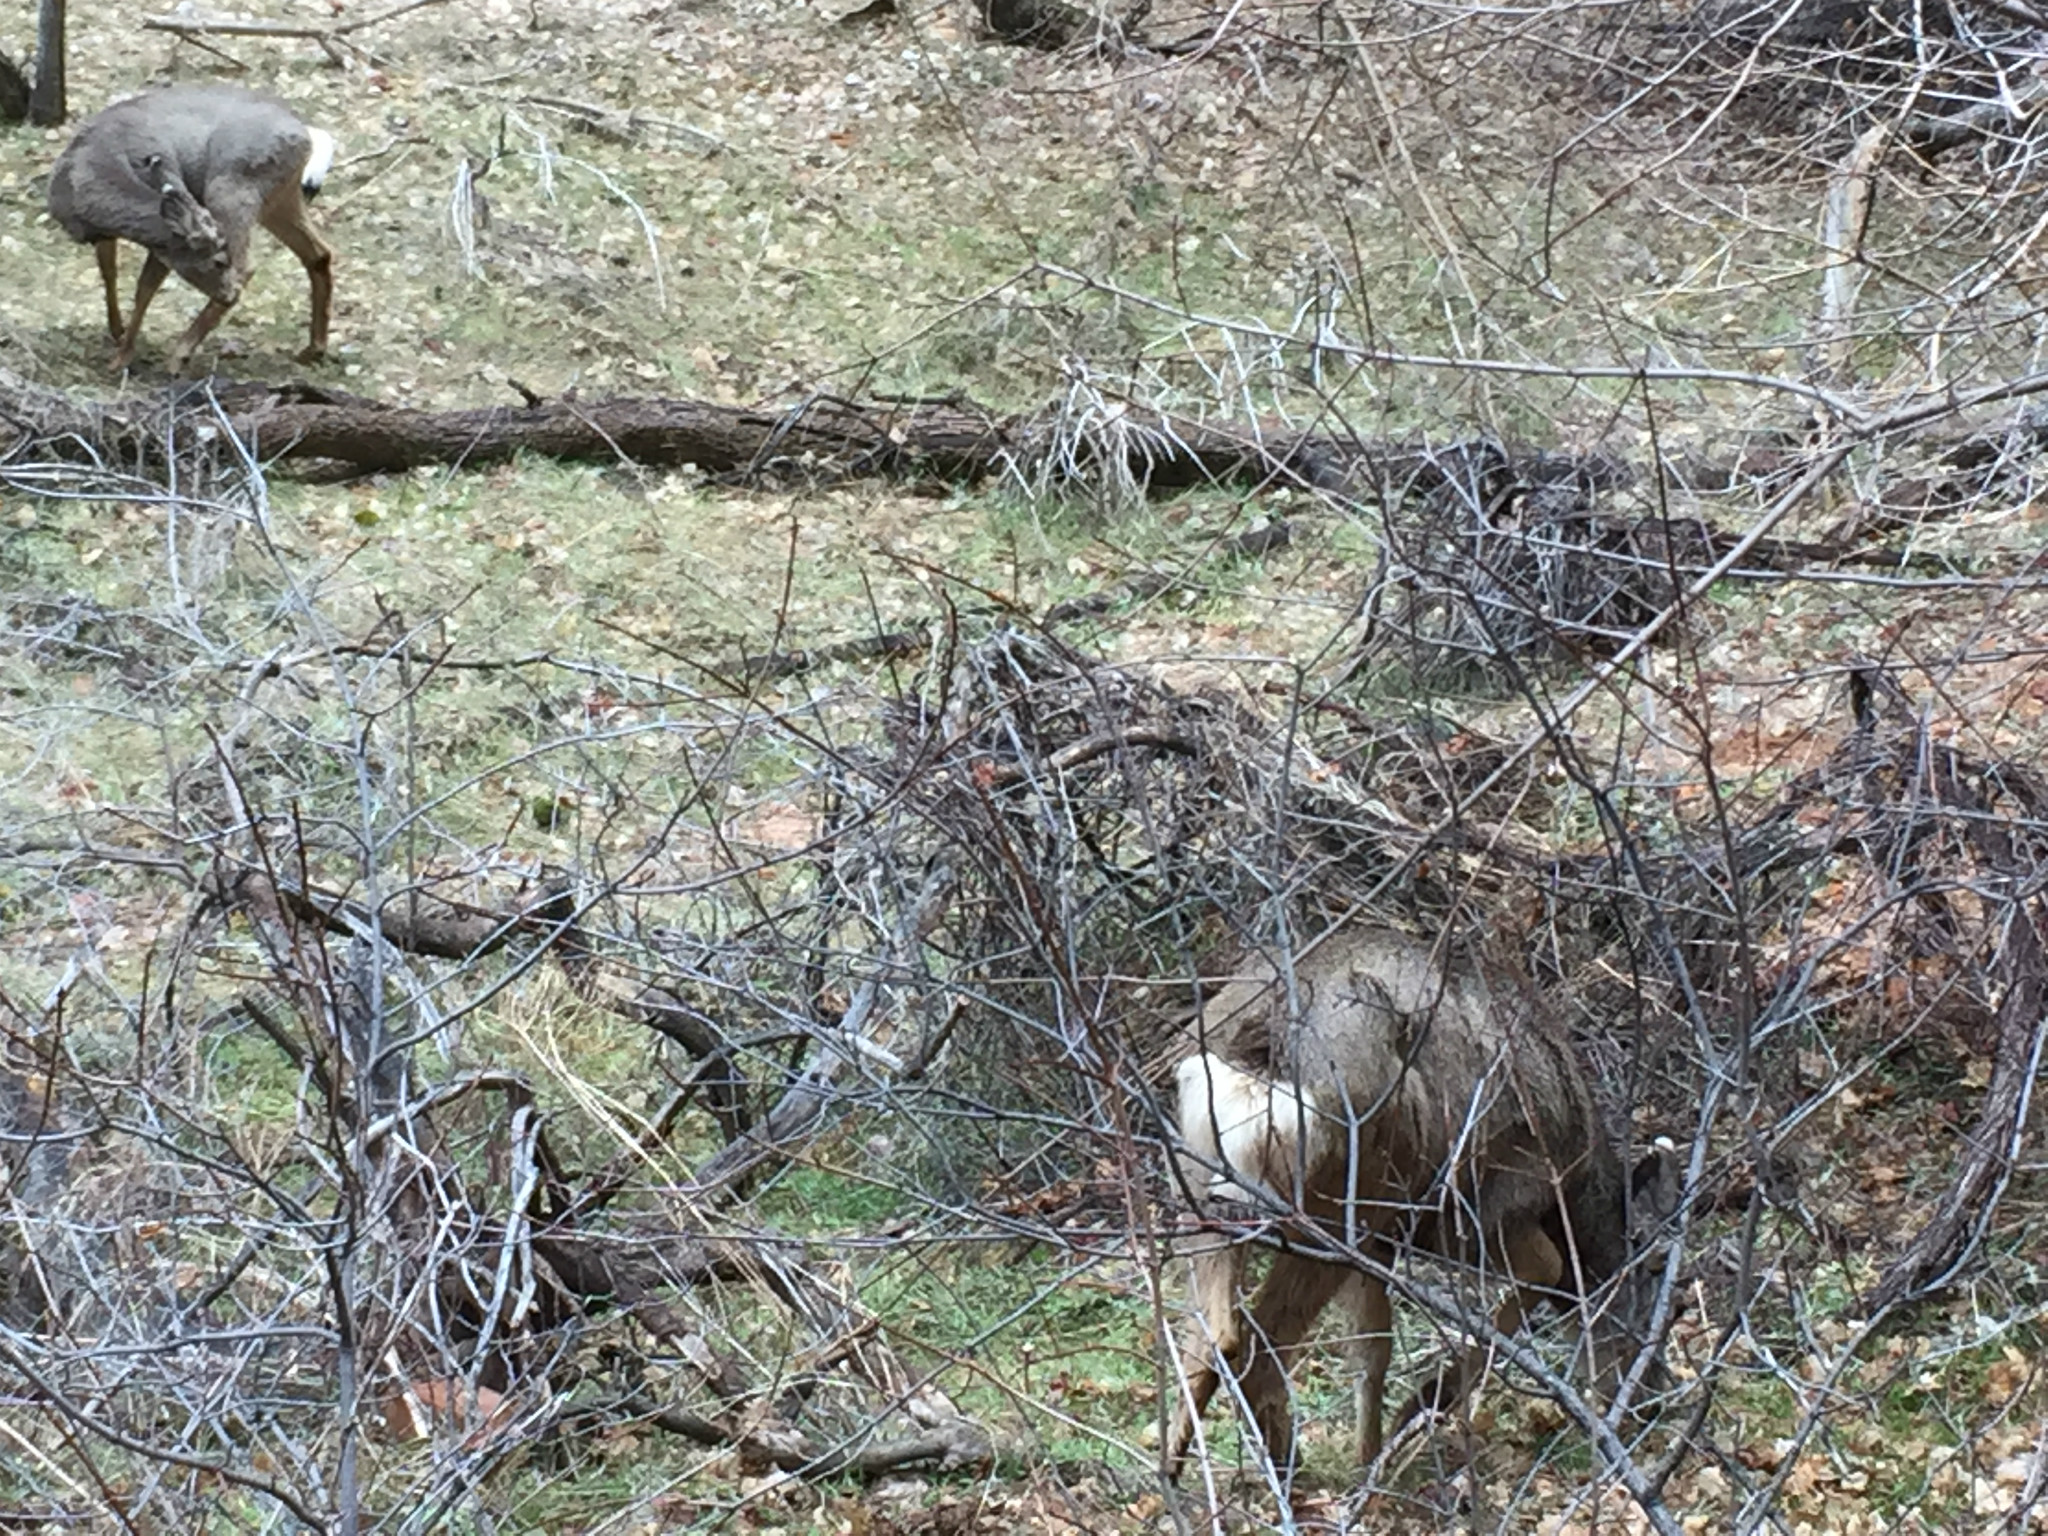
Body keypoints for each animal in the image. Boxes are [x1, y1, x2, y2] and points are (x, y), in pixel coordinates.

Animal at [45, 83, 335, 376]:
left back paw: (179, 355)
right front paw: (117, 331)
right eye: (217, 261)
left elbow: (145, 287)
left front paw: (121, 357)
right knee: (319, 253)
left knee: (249, 266)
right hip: (280, 199)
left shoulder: (167, 238)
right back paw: (313, 349)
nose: (229, 294)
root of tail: (305, 135)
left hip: (231, 189)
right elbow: (109, 273)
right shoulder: (114, 236)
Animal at [1163, 921, 1671, 1482]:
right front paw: (1421, 1408)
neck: (1576, 1189)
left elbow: (1372, 1347)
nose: (1652, 1398)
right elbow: (1546, 1268)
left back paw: (1184, 1470)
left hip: (1202, 1184)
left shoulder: (1387, 1238)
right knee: (1261, 1340)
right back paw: (1303, 1471)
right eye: (1649, 1272)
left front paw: (1375, 1453)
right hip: (1340, 1206)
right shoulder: (1489, 1203)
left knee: (1218, 1331)